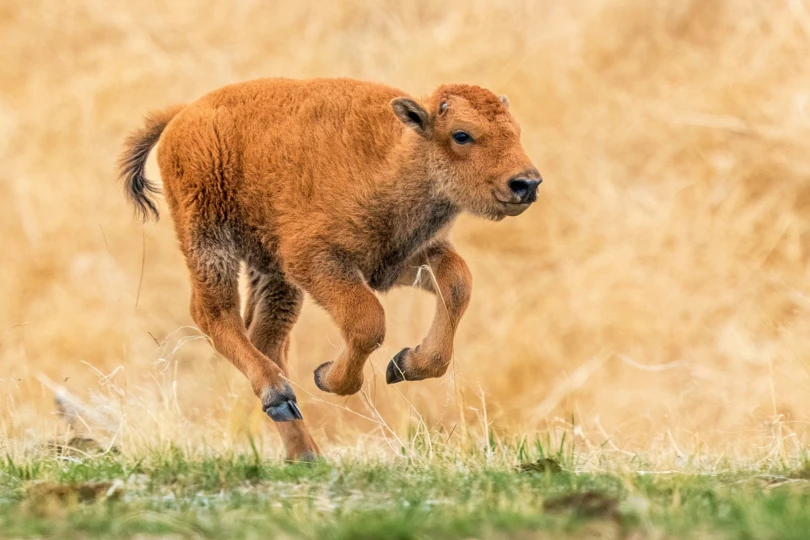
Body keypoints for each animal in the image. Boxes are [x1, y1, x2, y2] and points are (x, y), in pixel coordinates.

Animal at [119, 78, 541, 462]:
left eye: (517, 131)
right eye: (461, 135)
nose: (526, 183)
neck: (396, 154)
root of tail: (182, 116)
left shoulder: (399, 260)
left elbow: (456, 286)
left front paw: (404, 365)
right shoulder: (317, 261)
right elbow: (367, 321)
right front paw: (328, 376)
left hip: (272, 273)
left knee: (265, 337)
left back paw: (303, 451)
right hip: (209, 241)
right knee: (215, 314)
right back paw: (279, 398)